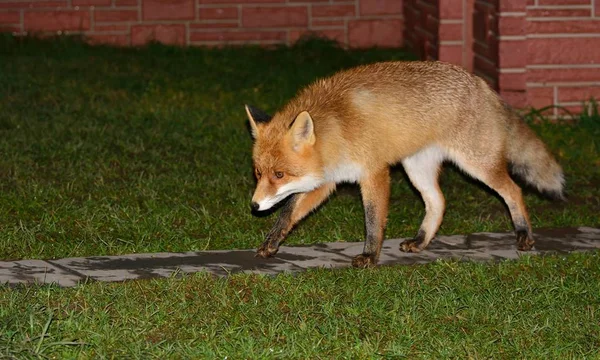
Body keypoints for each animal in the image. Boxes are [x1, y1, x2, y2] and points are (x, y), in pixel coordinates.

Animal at [246, 61, 564, 268]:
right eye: (259, 173)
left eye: (279, 174)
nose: (254, 206)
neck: (339, 128)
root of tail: (482, 85)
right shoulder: (327, 180)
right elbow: (287, 214)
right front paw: (270, 244)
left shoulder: (374, 172)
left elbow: (373, 221)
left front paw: (370, 256)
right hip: (416, 169)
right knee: (438, 201)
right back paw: (421, 241)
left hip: (477, 165)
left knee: (514, 191)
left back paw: (524, 235)